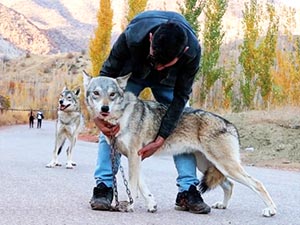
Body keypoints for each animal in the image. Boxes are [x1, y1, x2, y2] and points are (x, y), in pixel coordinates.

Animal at [82, 71, 276, 216]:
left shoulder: (134, 157)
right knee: (229, 184)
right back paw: (223, 205)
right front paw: (151, 204)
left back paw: (271, 210)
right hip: (208, 166)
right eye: (96, 93)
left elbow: (132, 186)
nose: (104, 109)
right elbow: (142, 185)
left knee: (257, 184)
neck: (121, 118)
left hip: (225, 166)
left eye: (112, 94)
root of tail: (230, 124)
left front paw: (129, 206)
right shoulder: (132, 157)